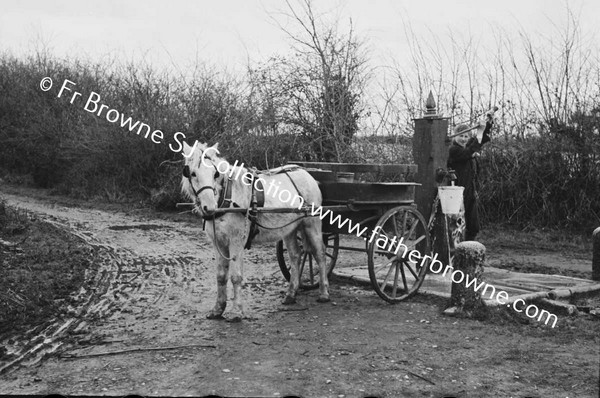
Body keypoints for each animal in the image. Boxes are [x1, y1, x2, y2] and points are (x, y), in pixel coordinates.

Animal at [180, 141, 330, 322]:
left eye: (215, 174)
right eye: (192, 173)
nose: (209, 207)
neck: (227, 197)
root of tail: (305, 173)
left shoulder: (236, 241)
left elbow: (235, 276)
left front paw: (237, 312)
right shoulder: (218, 243)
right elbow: (220, 275)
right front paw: (217, 309)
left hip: (311, 223)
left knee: (320, 253)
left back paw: (324, 292)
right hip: (289, 229)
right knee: (295, 255)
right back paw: (291, 294)